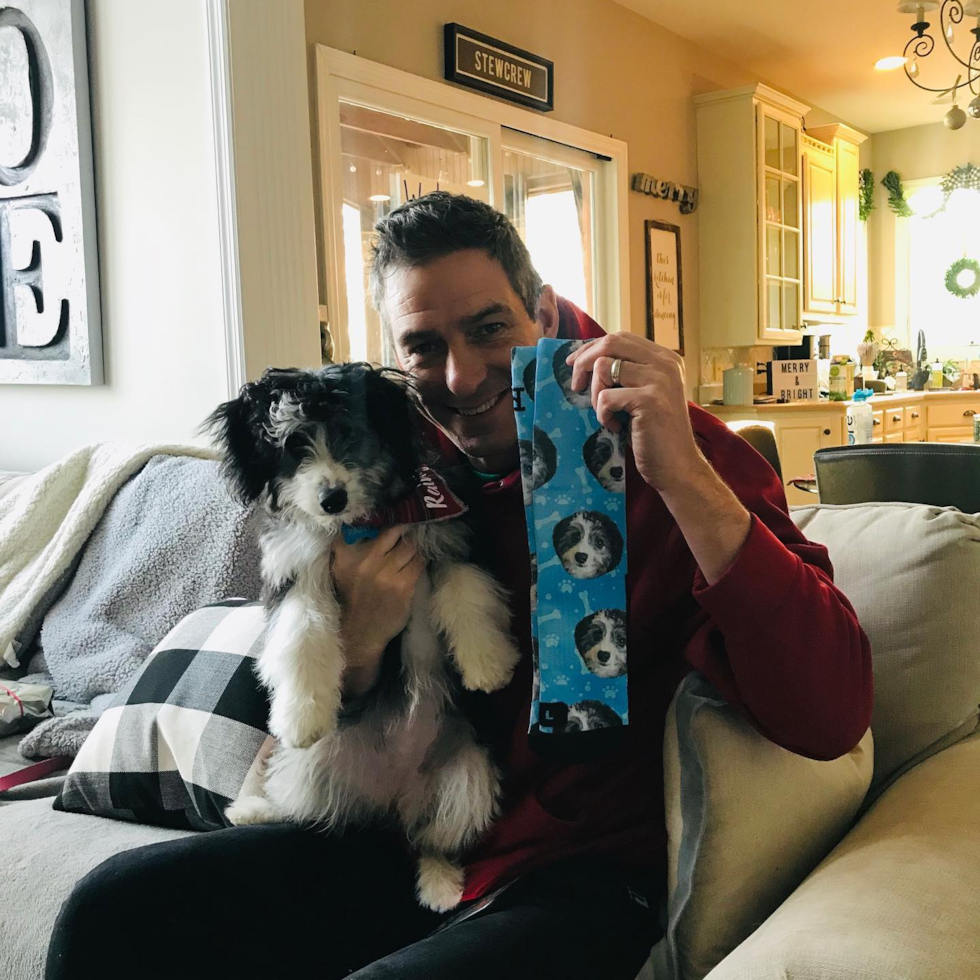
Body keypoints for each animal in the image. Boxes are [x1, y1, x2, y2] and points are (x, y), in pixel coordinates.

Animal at [205, 362, 520, 912]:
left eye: (350, 433)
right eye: (294, 446)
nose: (332, 498)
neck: (363, 524)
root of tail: (387, 796)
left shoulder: (450, 538)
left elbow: (466, 589)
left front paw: (487, 666)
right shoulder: (298, 571)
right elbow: (304, 632)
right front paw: (302, 715)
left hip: (468, 778)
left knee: (431, 837)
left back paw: (440, 883)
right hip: (310, 768)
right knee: (304, 808)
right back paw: (256, 808)